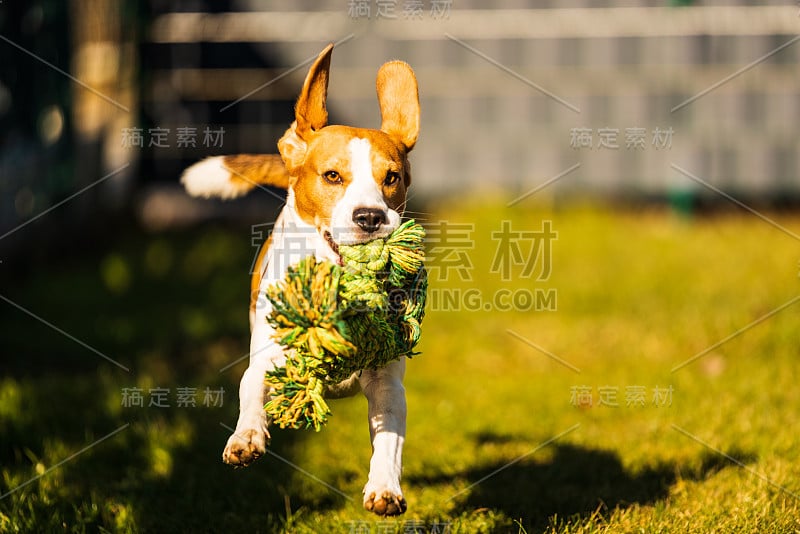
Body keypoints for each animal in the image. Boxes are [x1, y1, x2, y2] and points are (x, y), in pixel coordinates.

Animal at [180, 46, 418, 520]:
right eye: (332, 176)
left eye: (391, 178)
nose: (370, 217)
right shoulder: (268, 358)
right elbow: (251, 389)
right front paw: (246, 438)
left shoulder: (388, 381)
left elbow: (389, 439)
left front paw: (384, 488)